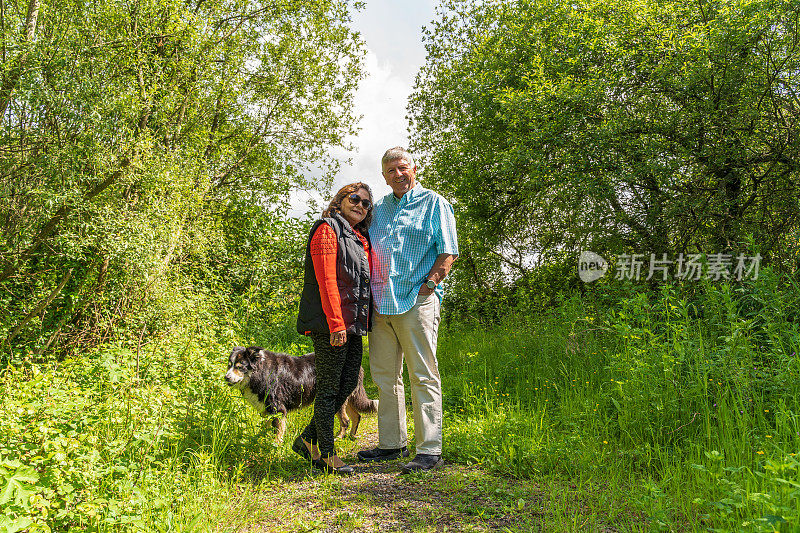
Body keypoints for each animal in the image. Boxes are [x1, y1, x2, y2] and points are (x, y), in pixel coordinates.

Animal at [223, 344, 376, 440]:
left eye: (240, 367)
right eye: (229, 365)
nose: (226, 377)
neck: (262, 371)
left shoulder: (278, 409)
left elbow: (278, 433)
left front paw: (275, 447)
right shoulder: (267, 410)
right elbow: (266, 428)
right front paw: (261, 441)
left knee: (345, 420)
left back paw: (338, 437)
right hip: (348, 397)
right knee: (357, 416)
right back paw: (351, 436)